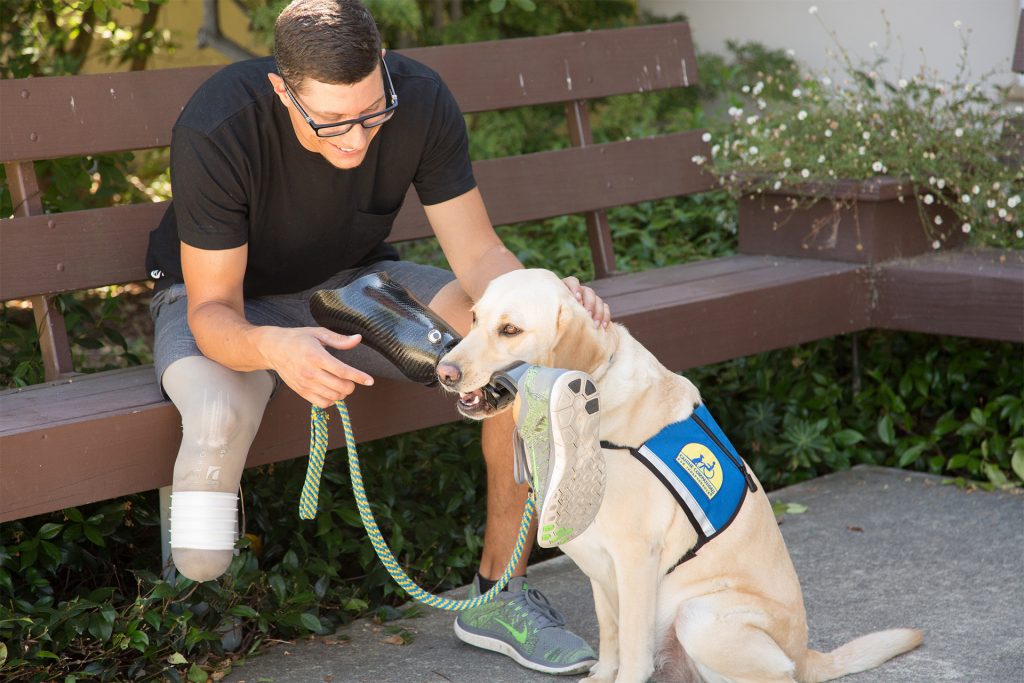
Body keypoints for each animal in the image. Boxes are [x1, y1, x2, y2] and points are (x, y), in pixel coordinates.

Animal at [436, 268, 925, 683]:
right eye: (475, 317)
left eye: (510, 330)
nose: (444, 371)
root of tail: (805, 655)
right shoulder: (599, 566)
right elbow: (610, 640)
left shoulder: (635, 558)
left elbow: (632, 652)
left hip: (700, 616)